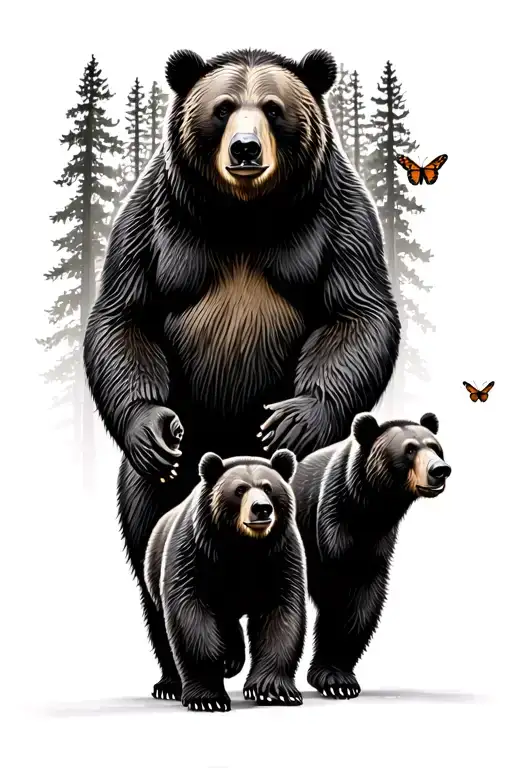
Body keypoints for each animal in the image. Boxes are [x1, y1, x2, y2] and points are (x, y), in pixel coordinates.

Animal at [143, 448, 306, 712]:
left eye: (268, 487)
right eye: (239, 489)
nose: (262, 508)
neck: (243, 547)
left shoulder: (280, 556)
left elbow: (281, 615)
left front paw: (275, 692)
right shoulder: (195, 554)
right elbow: (190, 615)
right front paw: (208, 697)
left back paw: (232, 660)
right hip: (153, 575)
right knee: (159, 626)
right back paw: (169, 686)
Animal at [291, 411, 451, 699]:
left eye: (435, 446)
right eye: (410, 449)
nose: (439, 470)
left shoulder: (375, 545)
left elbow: (361, 601)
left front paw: (337, 675)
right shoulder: (330, 525)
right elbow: (340, 592)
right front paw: (335, 680)